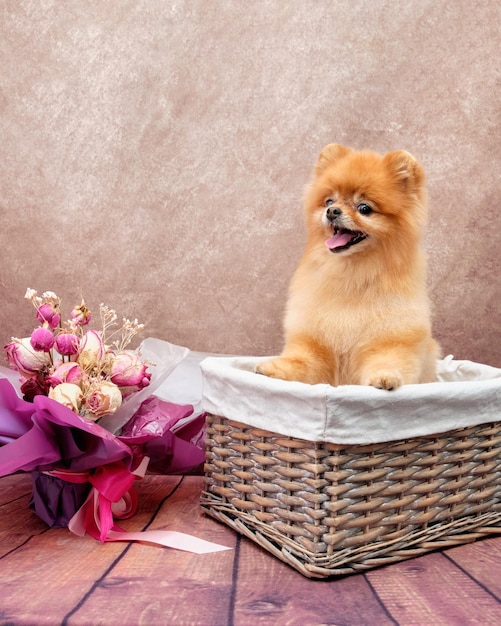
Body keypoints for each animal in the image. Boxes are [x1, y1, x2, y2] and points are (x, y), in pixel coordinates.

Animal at [256, 144, 440, 388]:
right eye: (329, 201)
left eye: (364, 208)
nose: (332, 211)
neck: (351, 274)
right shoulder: (315, 342)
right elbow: (301, 361)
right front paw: (275, 368)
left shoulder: (390, 339)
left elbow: (387, 361)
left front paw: (386, 377)